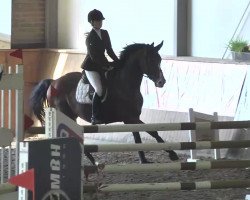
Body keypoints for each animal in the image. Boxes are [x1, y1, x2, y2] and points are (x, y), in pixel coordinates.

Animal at [29, 41, 179, 164]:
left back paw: (91, 160)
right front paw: (172, 154)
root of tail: (53, 82)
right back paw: (92, 161)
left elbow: (139, 137)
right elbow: (152, 131)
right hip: (65, 114)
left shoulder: (132, 118)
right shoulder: (131, 118)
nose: (161, 82)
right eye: (151, 60)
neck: (125, 84)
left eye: (159, 60)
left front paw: (144, 159)